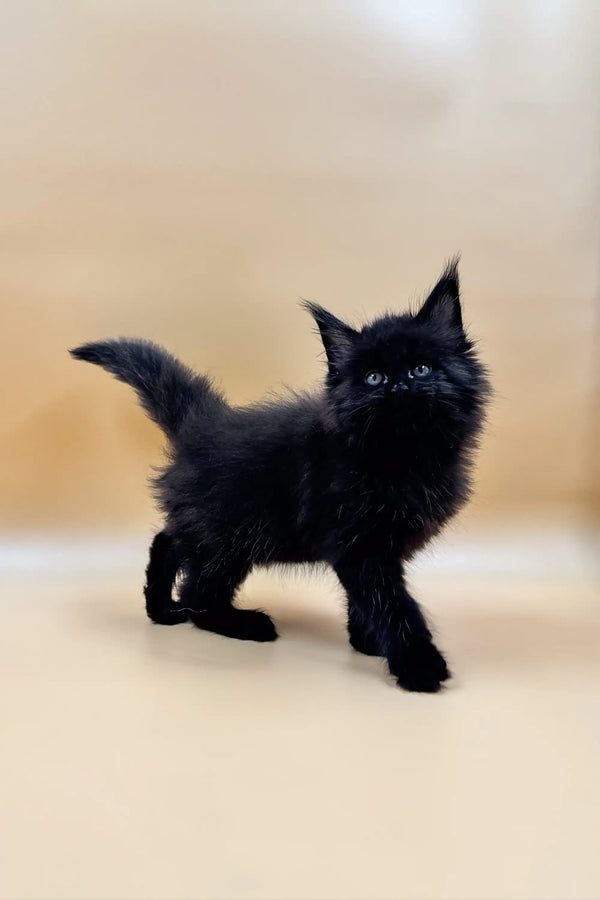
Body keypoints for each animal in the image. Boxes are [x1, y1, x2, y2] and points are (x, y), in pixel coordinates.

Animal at [72, 262, 490, 696]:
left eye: (421, 367)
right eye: (373, 378)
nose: (399, 385)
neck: (403, 459)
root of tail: (203, 424)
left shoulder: (376, 546)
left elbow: (368, 601)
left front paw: (367, 642)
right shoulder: (360, 545)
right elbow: (391, 604)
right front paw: (417, 664)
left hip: (214, 528)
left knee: (170, 544)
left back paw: (162, 608)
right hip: (232, 535)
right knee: (198, 589)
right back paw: (243, 623)